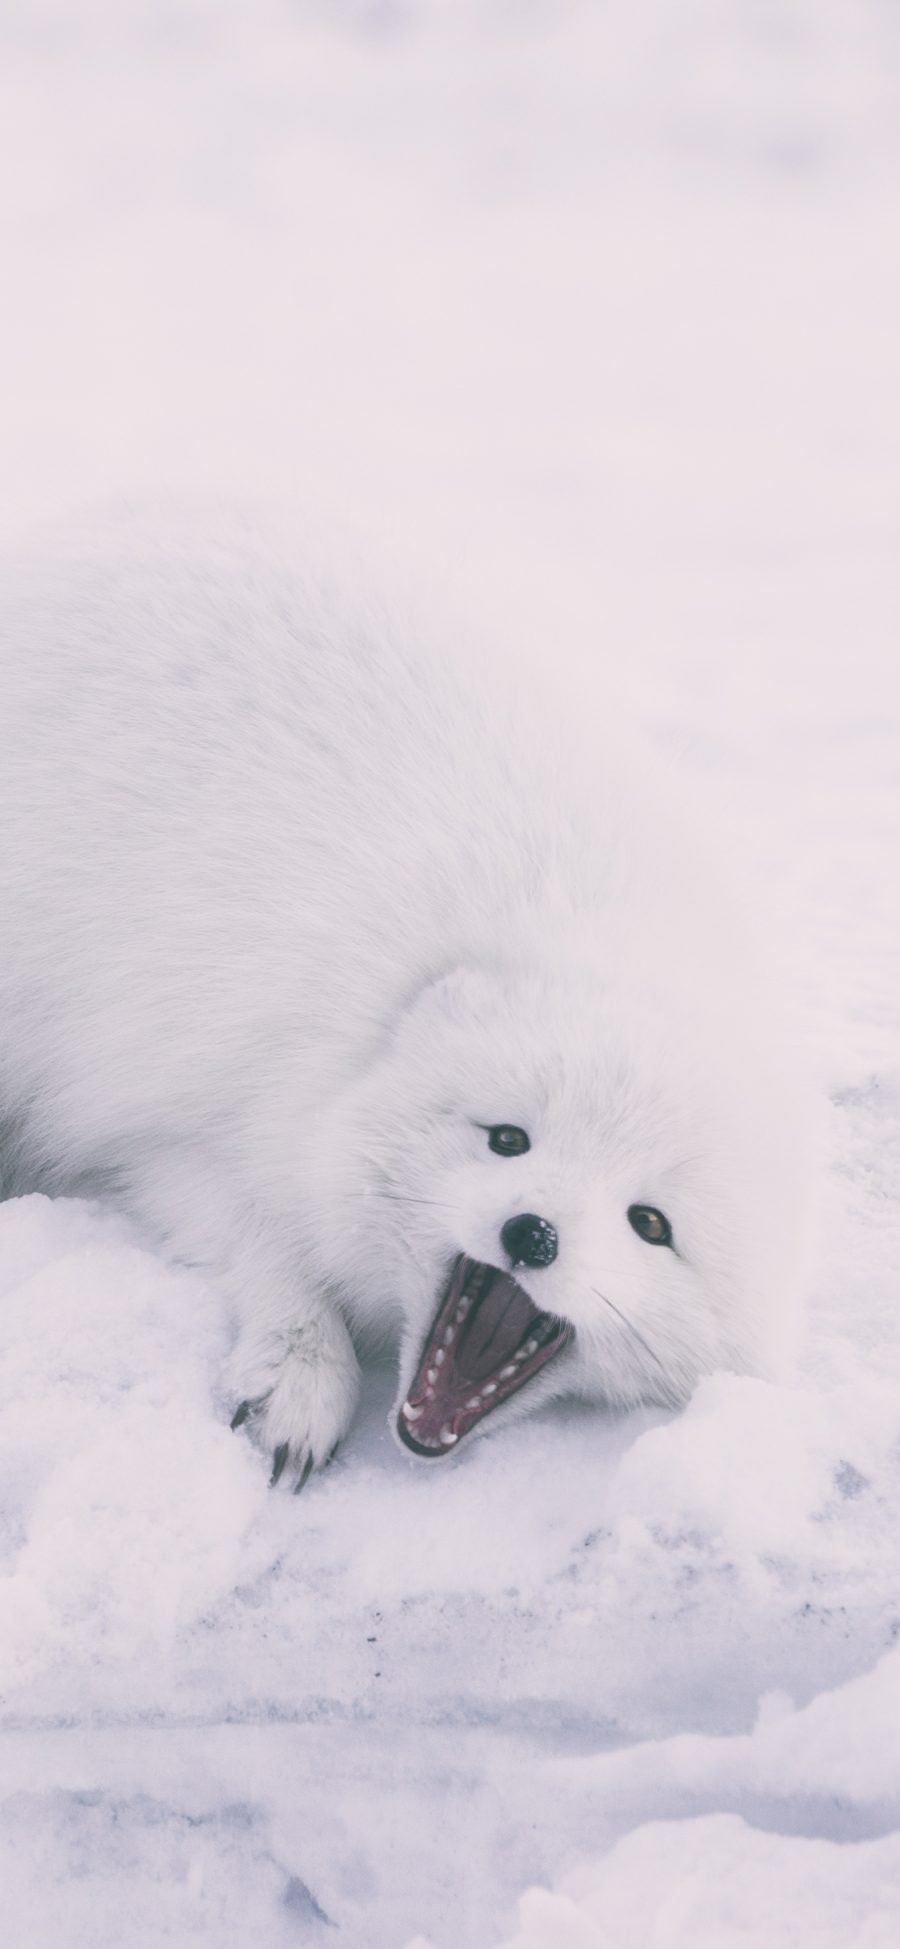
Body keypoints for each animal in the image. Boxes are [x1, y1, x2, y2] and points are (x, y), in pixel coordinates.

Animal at [0, 510, 814, 1481]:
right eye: (508, 1139)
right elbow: (264, 1238)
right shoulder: (184, 1119)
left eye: (650, 1224)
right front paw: (302, 1371)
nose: (532, 1233)